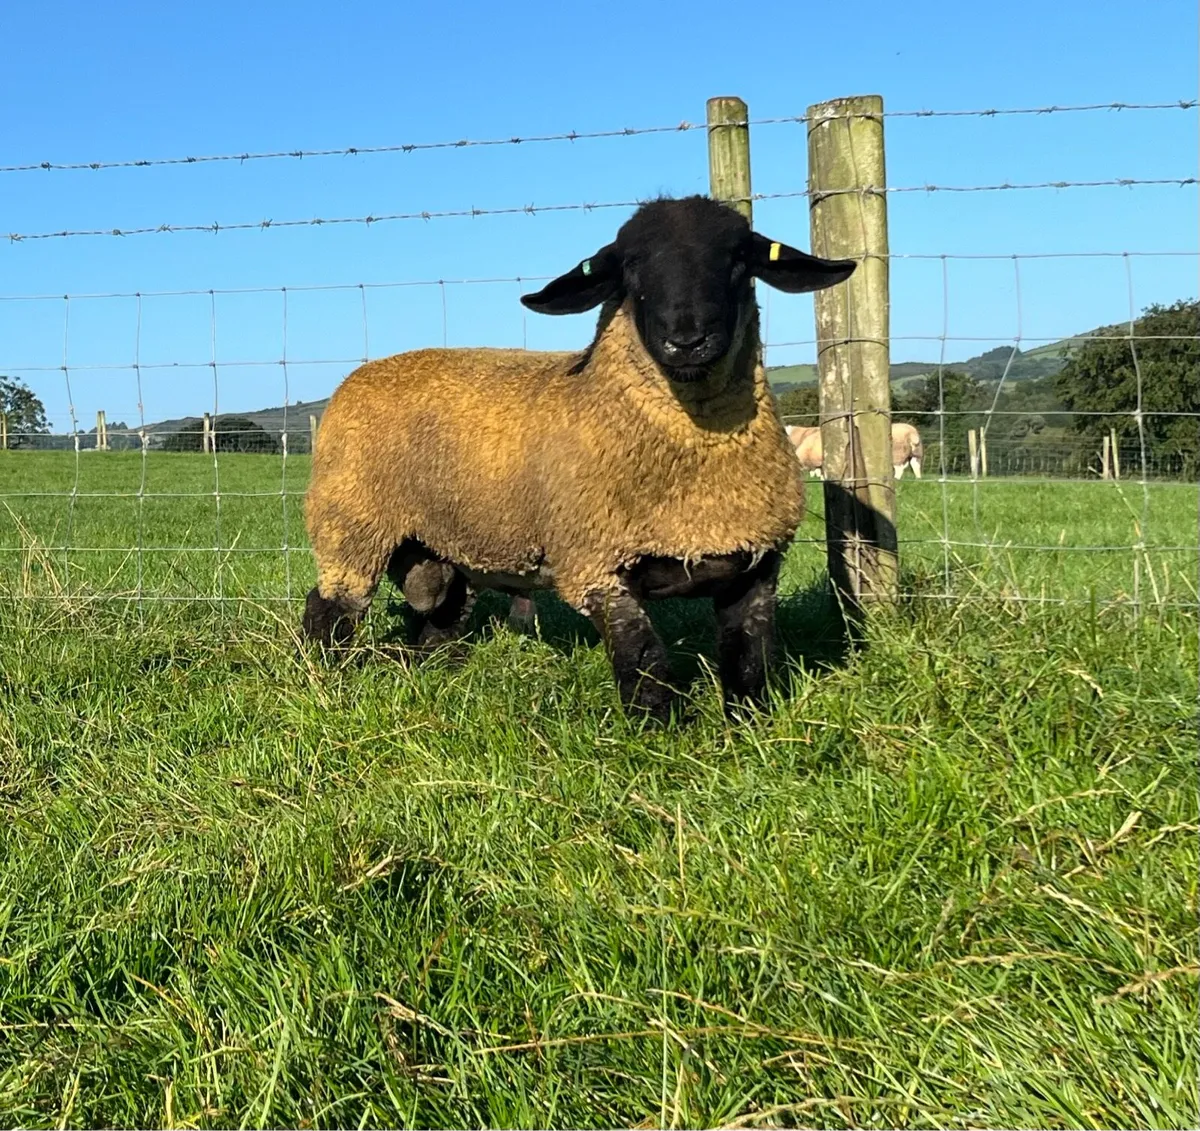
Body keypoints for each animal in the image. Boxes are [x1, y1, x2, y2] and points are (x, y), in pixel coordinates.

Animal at [301, 195, 855, 723]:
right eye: (631, 263)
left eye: (739, 257)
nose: (687, 339)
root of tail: (359, 374)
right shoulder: (596, 563)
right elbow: (644, 660)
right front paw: (658, 734)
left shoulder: (755, 564)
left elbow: (748, 659)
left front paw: (748, 730)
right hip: (352, 525)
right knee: (329, 609)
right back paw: (324, 678)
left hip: (444, 548)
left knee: (439, 621)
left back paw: (433, 675)